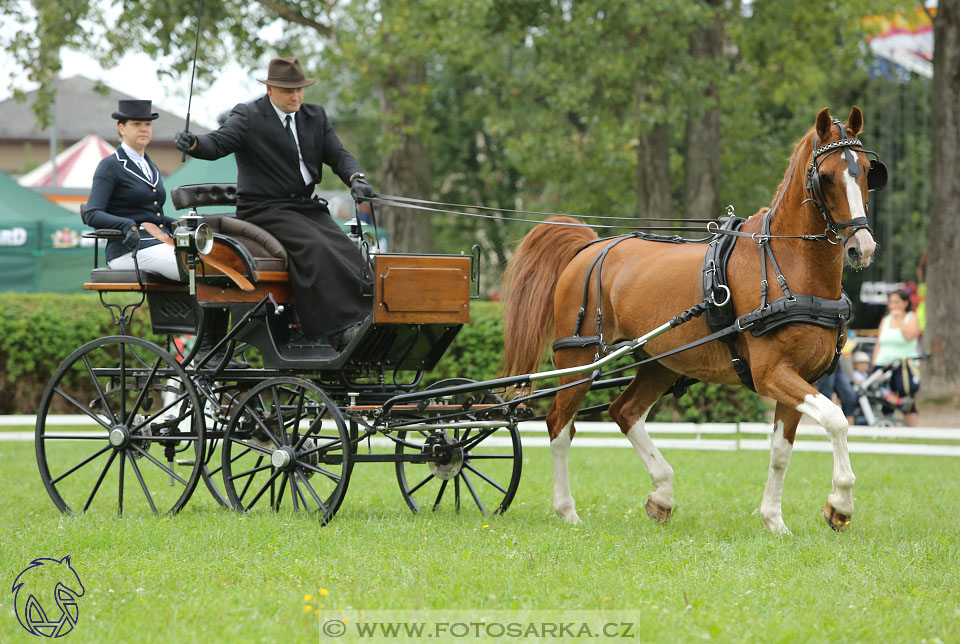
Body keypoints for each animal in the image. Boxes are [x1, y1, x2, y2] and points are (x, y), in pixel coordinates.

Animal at [506, 107, 880, 532]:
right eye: (827, 176)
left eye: (868, 171)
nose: (862, 246)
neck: (787, 267)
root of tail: (588, 247)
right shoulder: (772, 374)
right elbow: (837, 419)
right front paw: (841, 503)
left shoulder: (804, 378)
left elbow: (781, 452)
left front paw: (774, 519)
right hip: (579, 358)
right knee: (559, 424)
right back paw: (567, 509)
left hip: (660, 362)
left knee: (624, 412)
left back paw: (662, 495)